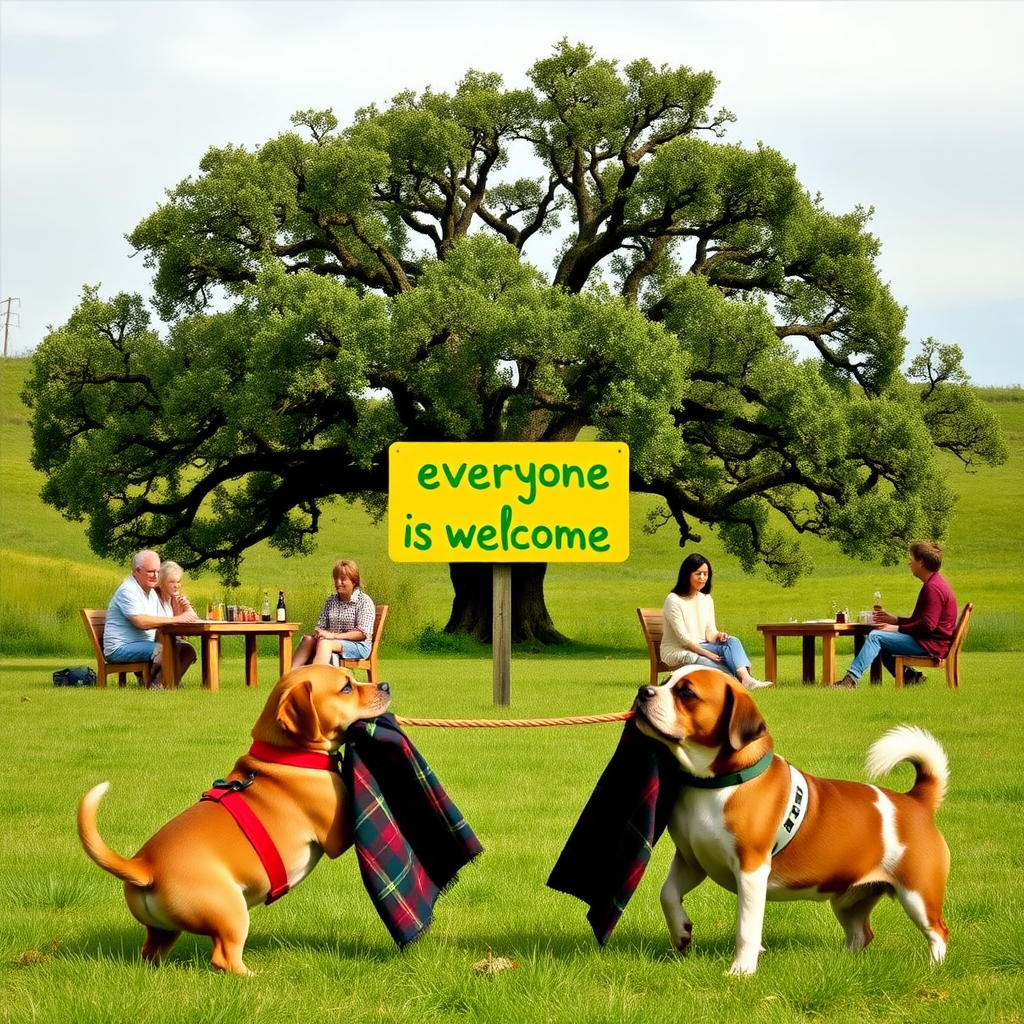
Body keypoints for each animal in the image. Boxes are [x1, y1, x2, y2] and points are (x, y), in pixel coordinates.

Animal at [76, 663, 391, 974]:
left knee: (150, 952)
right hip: (231, 913)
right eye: (346, 688)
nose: (386, 686)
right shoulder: (337, 837)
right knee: (224, 958)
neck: (284, 756)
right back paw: (251, 976)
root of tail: (144, 867)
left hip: (164, 930)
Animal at [630, 663, 950, 974]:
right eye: (666, 680)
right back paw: (844, 963)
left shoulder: (751, 871)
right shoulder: (692, 861)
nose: (644, 691)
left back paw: (933, 967)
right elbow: (667, 894)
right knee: (862, 934)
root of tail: (915, 800)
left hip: (917, 894)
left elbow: (746, 928)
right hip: (850, 899)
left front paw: (741, 971)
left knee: (938, 931)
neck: (719, 785)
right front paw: (681, 933)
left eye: (687, 693)